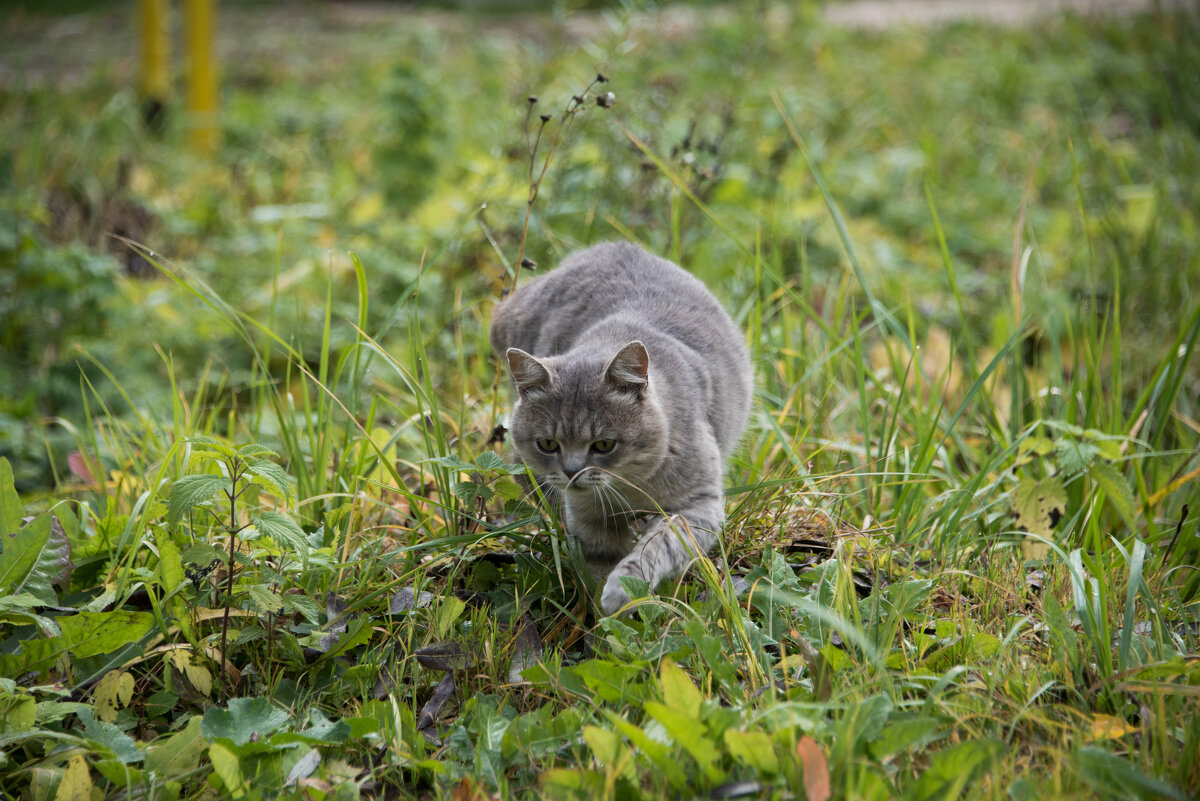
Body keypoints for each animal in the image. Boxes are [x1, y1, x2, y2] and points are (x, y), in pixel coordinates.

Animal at [489, 242, 748, 613]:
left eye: (604, 445)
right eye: (548, 444)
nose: (572, 473)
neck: (629, 486)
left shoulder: (698, 506)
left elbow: (661, 543)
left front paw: (624, 590)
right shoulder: (587, 520)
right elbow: (599, 565)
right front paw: (602, 615)